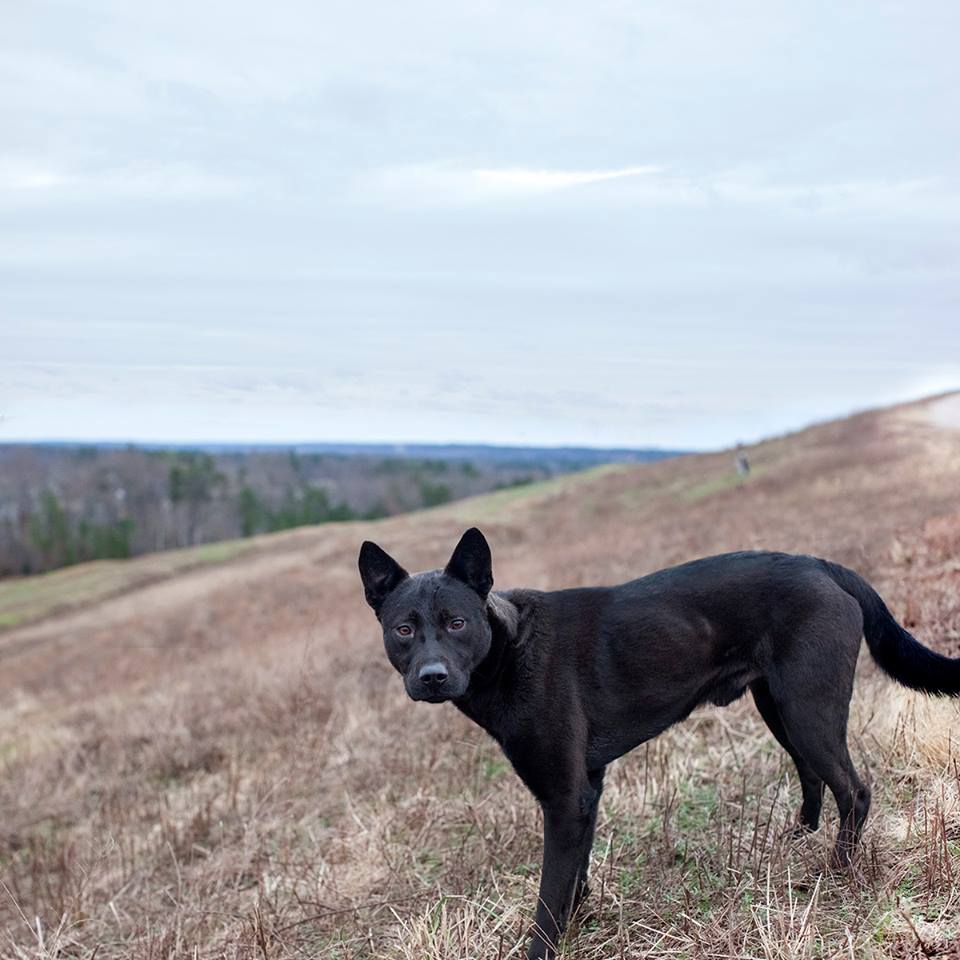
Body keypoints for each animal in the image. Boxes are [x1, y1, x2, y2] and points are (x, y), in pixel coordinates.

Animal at [358, 528, 960, 959]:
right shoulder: (587, 790)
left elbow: (548, 896)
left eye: (457, 622)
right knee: (812, 774)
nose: (432, 677)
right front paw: (582, 923)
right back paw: (799, 837)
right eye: (404, 630)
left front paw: (545, 947)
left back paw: (833, 873)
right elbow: (574, 878)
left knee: (855, 789)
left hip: (807, 706)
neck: (509, 649)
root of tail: (821, 564)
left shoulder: (564, 798)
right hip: (779, 705)